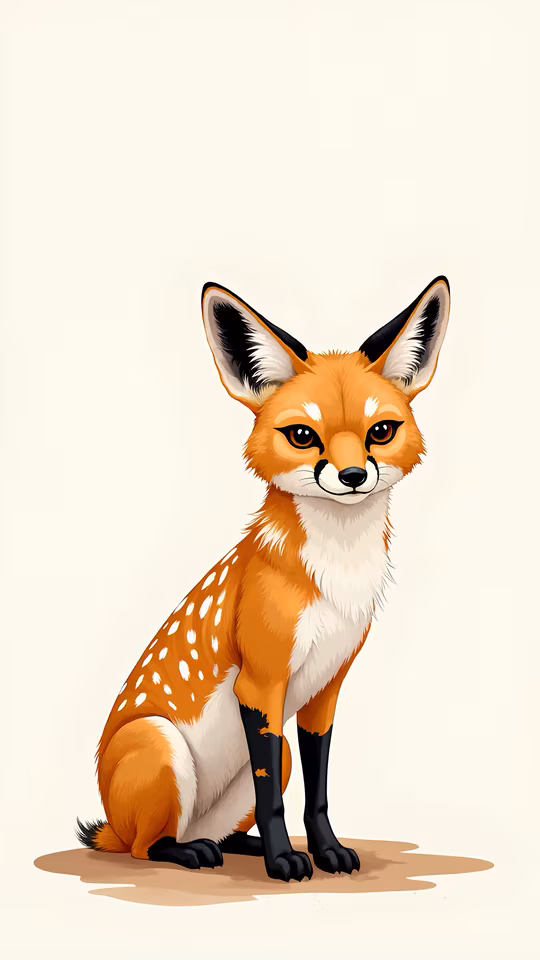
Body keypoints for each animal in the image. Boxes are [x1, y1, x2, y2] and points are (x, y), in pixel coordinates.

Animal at [77, 276, 450, 883]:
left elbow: (316, 792)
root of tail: (113, 821)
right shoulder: (262, 685)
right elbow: (271, 792)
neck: (337, 577)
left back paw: (236, 845)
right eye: (302, 435)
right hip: (162, 752)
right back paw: (189, 853)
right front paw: (283, 862)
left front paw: (326, 851)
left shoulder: (325, 690)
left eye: (381, 431)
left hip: (248, 775)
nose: (352, 475)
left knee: (217, 828)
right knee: (145, 847)